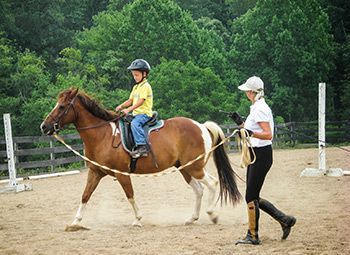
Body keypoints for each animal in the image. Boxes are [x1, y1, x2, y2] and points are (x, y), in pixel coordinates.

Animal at [39, 88, 241, 229]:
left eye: (62, 106)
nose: (44, 126)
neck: (103, 135)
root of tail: (201, 126)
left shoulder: (122, 174)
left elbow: (130, 195)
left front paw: (137, 219)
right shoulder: (95, 172)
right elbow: (85, 195)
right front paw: (75, 222)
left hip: (195, 167)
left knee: (212, 183)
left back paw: (212, 214)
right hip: (184, 168)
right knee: (198, 190)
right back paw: (192, 218)